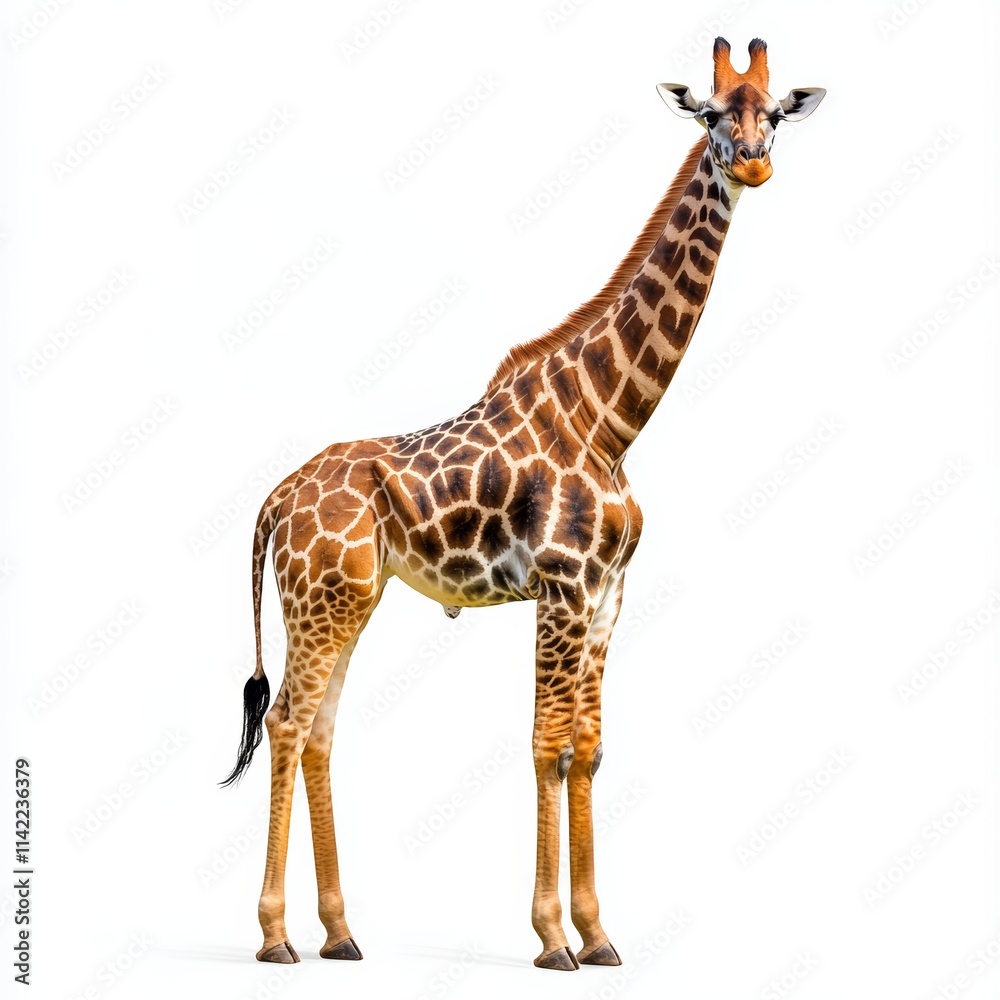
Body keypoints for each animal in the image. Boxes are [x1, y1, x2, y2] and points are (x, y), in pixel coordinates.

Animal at [222, 36, 824, 971]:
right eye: (712, 114)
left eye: (776, 113)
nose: (755, 162)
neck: (612, 419)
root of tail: (274, 501)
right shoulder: (562, 586)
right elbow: (547, 745)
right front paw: (551, 938)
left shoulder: (608, 594)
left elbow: (588, 747)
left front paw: (600, 934)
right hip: (319, 598)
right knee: (287, 721)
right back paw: (277, 936)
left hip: (347, 597)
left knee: (318, 727)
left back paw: (341, 932)